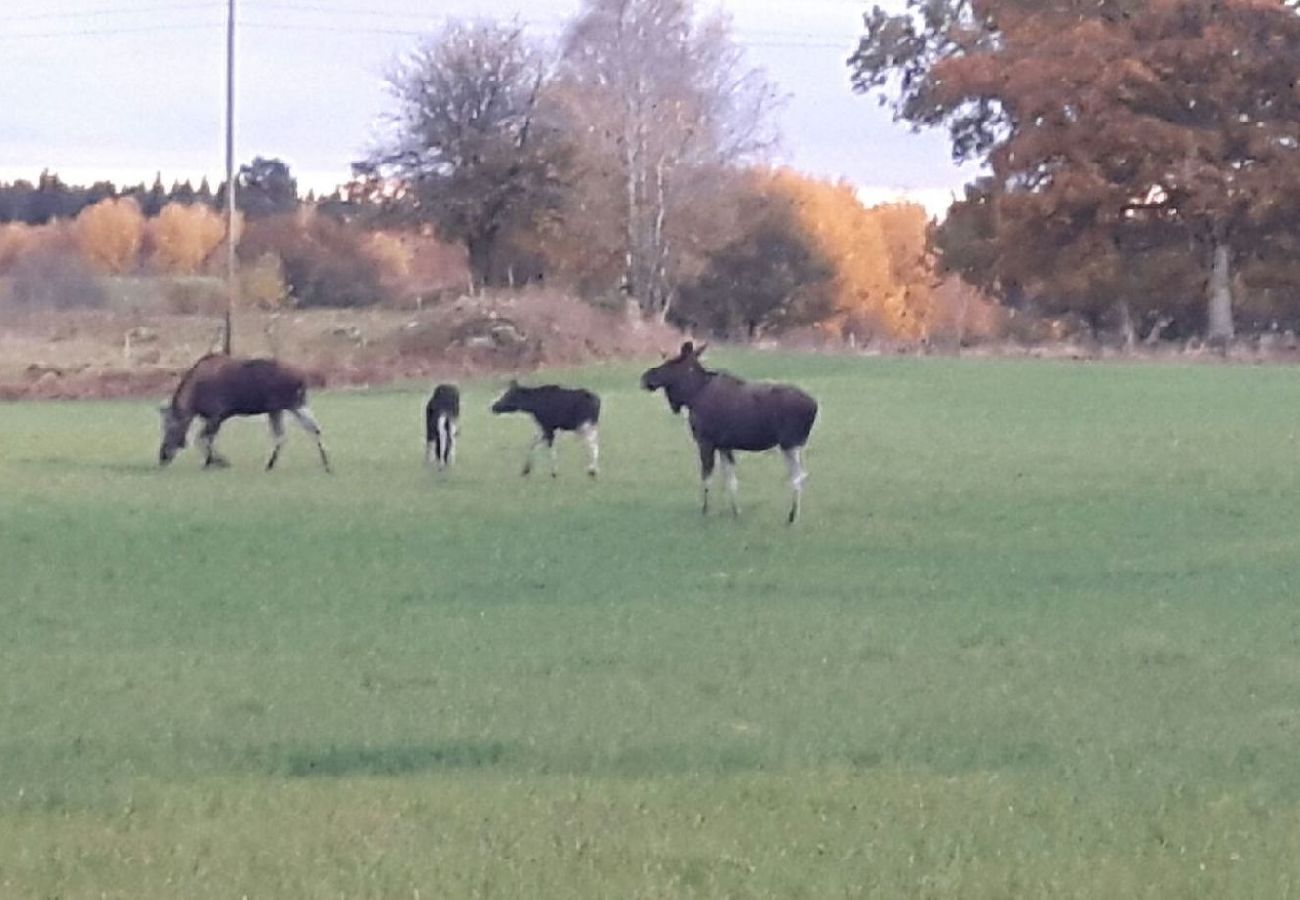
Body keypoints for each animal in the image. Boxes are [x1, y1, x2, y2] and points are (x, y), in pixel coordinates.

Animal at [158, 356, 330, 473]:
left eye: (170, 428)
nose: (162, 456)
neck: (192, 401)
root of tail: (303, 378)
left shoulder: (217, 415)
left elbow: (201, 439)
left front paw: (216, 462)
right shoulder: (212, 418)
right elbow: (205, 439)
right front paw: (214, 462)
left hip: (284, 406)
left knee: (288, 434)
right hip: (291, 406)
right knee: (310, 430)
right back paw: (325, 465)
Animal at [642, 343, 816, 528]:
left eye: (672, 362)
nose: (645, 377)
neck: (693, 395)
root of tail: (815, 406)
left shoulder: (706, 441)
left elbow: (706, 477)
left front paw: (705, 510)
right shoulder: (724, 445)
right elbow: (731, 480)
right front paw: (735, 511)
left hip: (789, 443)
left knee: (798, 476)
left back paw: (792, 517)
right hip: (792, 445)